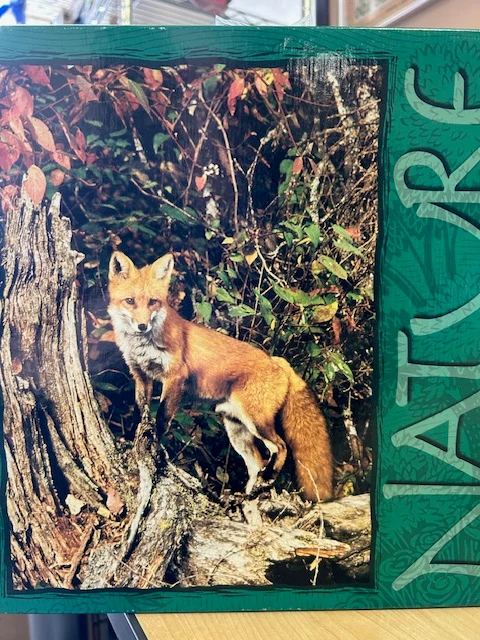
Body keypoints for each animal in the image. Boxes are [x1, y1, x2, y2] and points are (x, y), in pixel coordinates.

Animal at [107, 251, 333, 502]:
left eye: (152, 302)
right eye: (130, 301)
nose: (142, 326)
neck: (142, 346)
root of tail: (278, 362)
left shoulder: (175, 376)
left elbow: (162, 418)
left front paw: (158, 448)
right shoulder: (141, 376)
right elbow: (143, 412)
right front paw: (136, 438)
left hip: (256, 421)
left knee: (280, 447)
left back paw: (268, 478)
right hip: (237, 430)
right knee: (256, 463)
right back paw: (248, 496)